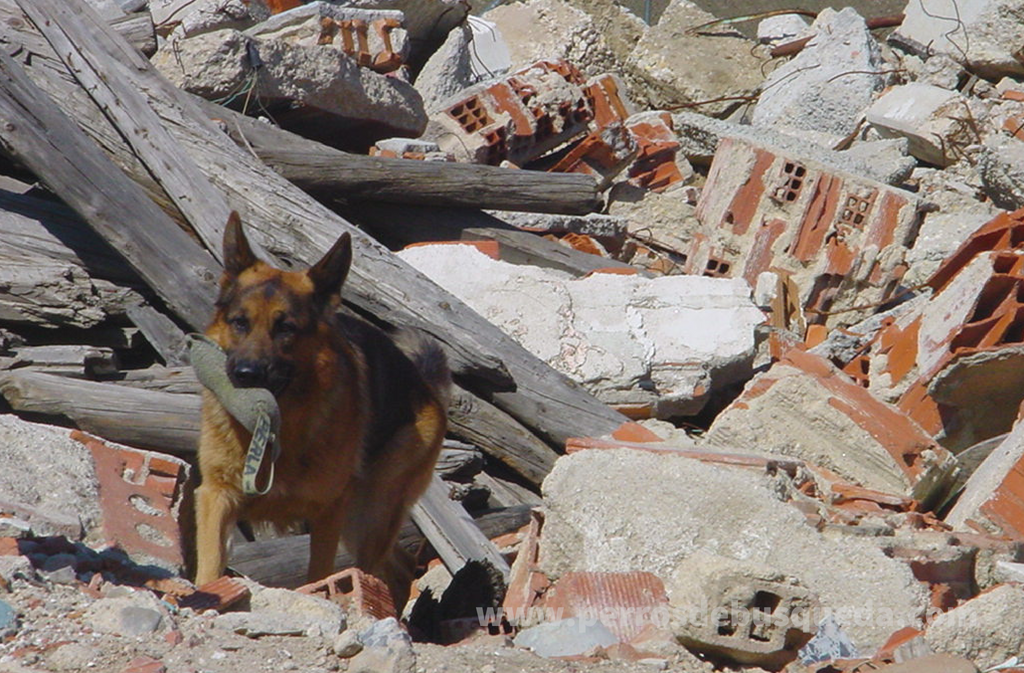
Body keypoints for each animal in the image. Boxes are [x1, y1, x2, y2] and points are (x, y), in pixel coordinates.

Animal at [193, 213, 450, 606]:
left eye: (285, 328)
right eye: (240, 322)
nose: (245, 375)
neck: (280, 429)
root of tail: (422, 382)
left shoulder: (328, 513)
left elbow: (319, 576)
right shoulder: (216, 497)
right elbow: (209, 566)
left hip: (369, 513)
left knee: (380, 564)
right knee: (400, 566)